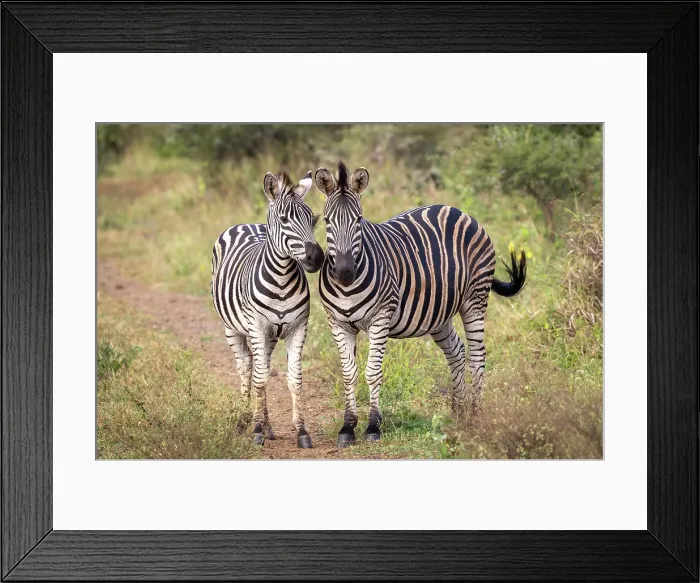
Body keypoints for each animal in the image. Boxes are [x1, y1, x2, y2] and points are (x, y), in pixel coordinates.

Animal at [211, 170, 324, 448]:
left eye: (313, 219)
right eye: (284, 220)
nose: (316, 259)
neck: (281, 281)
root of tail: (246, 224)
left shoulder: (298, 328)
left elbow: (294, 380)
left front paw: (301, 432)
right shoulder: (257, 327)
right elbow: (259, 379)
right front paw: (256, 430)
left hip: (270, 336)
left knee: (260, 366)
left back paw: (268, 425)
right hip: (233, 328)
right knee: (246, 367)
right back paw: (245, 420)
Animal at [315, 161, 527, 447]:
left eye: (358, 220)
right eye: (326, 221)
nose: (345, 272)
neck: (348, 287)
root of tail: (457, 210)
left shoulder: (380, 319)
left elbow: (372, 372)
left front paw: (373, 426)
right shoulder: (338, 323)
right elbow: (349, 374)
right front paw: (347, 427)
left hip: (475, 298)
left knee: (477, 354)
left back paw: (475, 412)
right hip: (439, 313)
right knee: (456, 351)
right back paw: (458, 411)